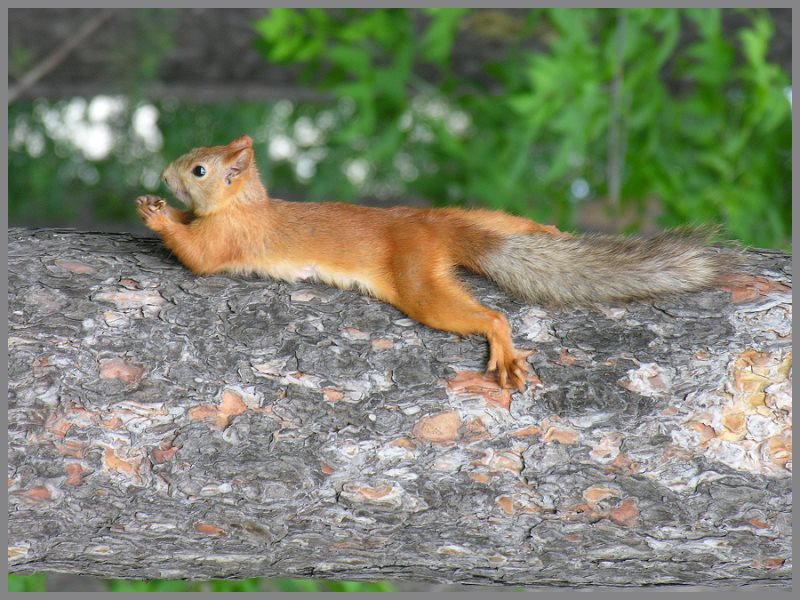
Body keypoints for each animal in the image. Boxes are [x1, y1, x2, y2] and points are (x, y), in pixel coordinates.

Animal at [137, 135, 730, 391]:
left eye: (198, 170)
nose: (163, 175)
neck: (243, 205)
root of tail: (431, 229)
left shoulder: (228, 241)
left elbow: (197, 256)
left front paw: (157, 215)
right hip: (478, 217)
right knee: (509, 225)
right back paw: (546, 230)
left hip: (419, 283)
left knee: (490, 315)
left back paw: (503, 347)